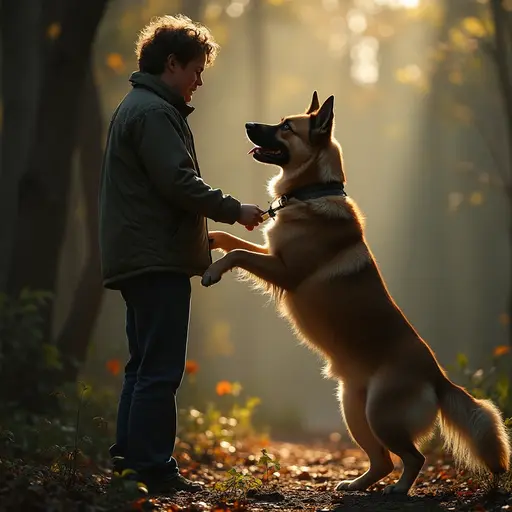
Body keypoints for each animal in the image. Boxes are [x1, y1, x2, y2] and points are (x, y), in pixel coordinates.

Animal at [200, 91, 508, 492]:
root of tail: (438, 378)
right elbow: (231, 240)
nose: (249, 125)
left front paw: (212, 271)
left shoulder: (284, 271)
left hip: (378, 415)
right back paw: (356, 485)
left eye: (286, 127)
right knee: (383, 461)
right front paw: (208, 238)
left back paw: (398, 490)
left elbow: (237, 253)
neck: (310, 194)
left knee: (413, 458)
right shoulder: (271, 254)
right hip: (352, 409)